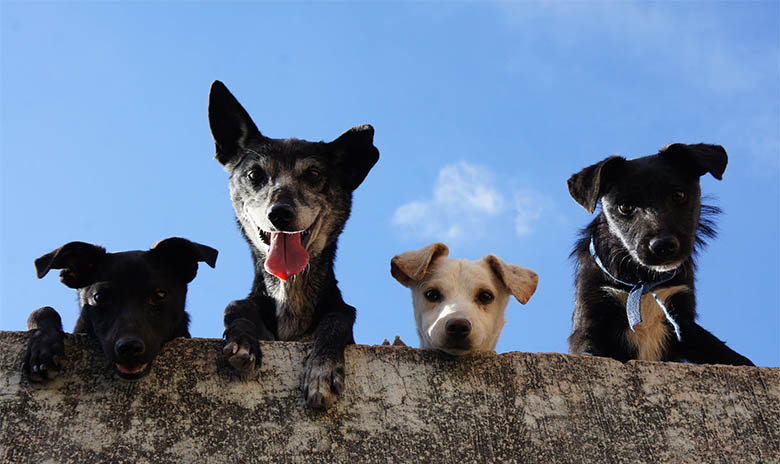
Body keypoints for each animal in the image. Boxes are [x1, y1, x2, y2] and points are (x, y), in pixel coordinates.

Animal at [206, 81, 380, 408]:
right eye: (254, 174)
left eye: (314, 174)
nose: (280, 213)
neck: (290, 294)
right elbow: (235, 305)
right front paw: (242, 341)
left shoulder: (341, 316)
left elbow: (337, 318)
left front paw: (322, 370)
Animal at [568, 142, 756, 366]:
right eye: (625, 206)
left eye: (678, 195)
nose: (663, 246)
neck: (643, 281)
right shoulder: (590, 319)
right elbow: (589, 350)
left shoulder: (683, 322)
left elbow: (730, 355)